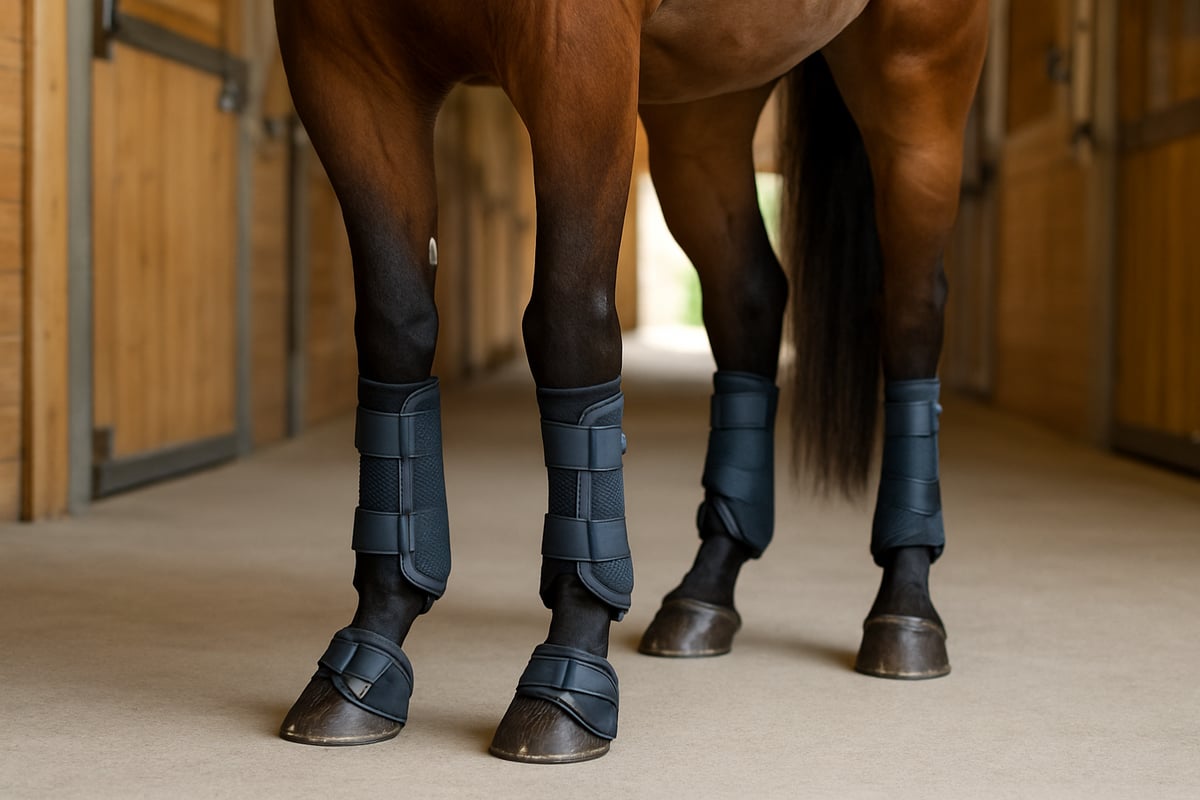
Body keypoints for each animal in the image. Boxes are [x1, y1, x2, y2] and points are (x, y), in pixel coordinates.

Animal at [272, 0, 989, 763]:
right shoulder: (341, 62)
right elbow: (395, 329)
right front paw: (362, 667)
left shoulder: (575, 55)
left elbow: (567, 326)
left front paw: (564, 685)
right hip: (708, 103)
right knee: (749, 293)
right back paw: (705, 592)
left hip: (916, 78)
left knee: (912, 312)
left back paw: (905, 610)